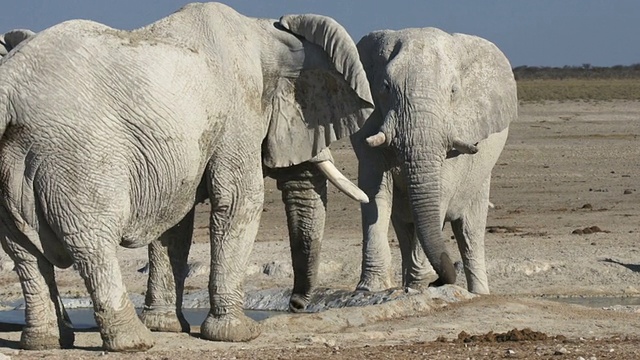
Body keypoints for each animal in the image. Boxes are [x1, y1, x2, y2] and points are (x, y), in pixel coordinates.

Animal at [0, 2, 372, 352]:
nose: (296, 305)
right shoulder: (238, 112)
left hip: (15, 157)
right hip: (78, 157)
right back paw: (134, 342)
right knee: (92, 243)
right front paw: (239, 334)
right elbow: (240, 201)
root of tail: (10, 87)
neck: (264, 32)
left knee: (22, 250)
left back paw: (45, 342)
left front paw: (166, 326)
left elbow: (174, 222)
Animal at [352, 28, 516, 296]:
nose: (439, 280)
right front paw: (369, 291)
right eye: (385, 87)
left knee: (471, 232)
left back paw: (478, 294)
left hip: (481, 177)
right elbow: (374, 193)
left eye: (453, 91)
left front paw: (419, 287)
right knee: (404, 228)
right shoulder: (367, 124)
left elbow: (438, 197)